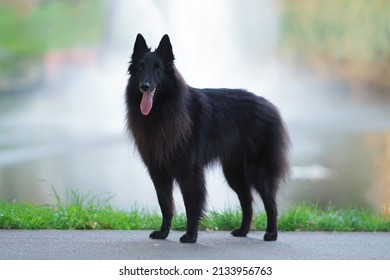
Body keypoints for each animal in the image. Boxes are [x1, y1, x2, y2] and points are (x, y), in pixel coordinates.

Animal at [125, 33, 290, 243]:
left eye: (158, 69)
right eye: (140, 67)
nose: (144, 86)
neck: (162, 112)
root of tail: (271, 106)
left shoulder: (189, 172)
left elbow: (191, 205)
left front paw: (190, 235)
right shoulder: (158, 172)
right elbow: (166, 205)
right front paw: (163, 233)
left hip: (258, 172)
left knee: (271, 203)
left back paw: (272, 233)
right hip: (234, 173)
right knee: (247, 202)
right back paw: (243, 230)